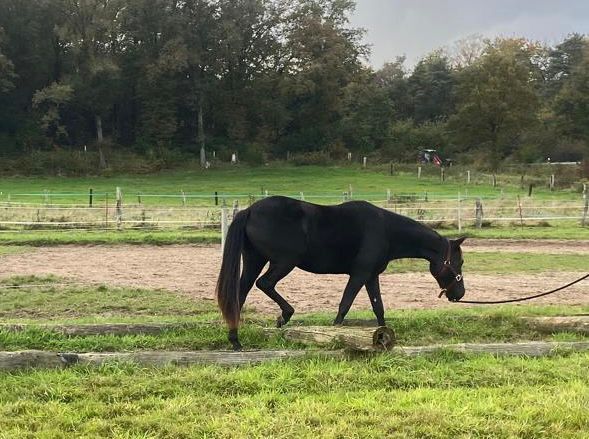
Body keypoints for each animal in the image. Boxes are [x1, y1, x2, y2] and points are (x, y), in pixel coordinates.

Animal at [216, 196, 464, 350]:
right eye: (458, 262)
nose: (460, 294)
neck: (385, 230)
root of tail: (250, 210)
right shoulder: (359, 274)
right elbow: (345, 304)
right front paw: (334, 334)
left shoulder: (371, 276)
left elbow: (378, 308)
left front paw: (384, 337)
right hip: (284, 262)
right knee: (265, 284)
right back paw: (284, 315)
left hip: (254, 260)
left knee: (241, 294)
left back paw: (235, 341)